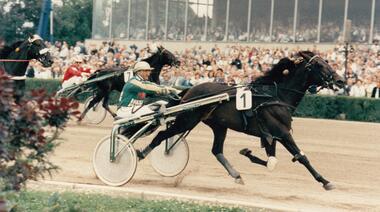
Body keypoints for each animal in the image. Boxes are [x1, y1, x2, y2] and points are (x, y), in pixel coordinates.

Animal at [137, 51, 348, 190]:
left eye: (328, 61)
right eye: (320, 65)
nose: (341, 81)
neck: (276, 96)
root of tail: (190, 90)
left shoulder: (271, 135)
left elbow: (272, 161)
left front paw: (247, 152)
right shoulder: (282, 132)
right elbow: (301, 157)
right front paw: (325, 181)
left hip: (219, 126)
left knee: (216, 150)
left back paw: (236, 175)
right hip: (187, 119)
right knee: (162, 135)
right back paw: (139, 154)